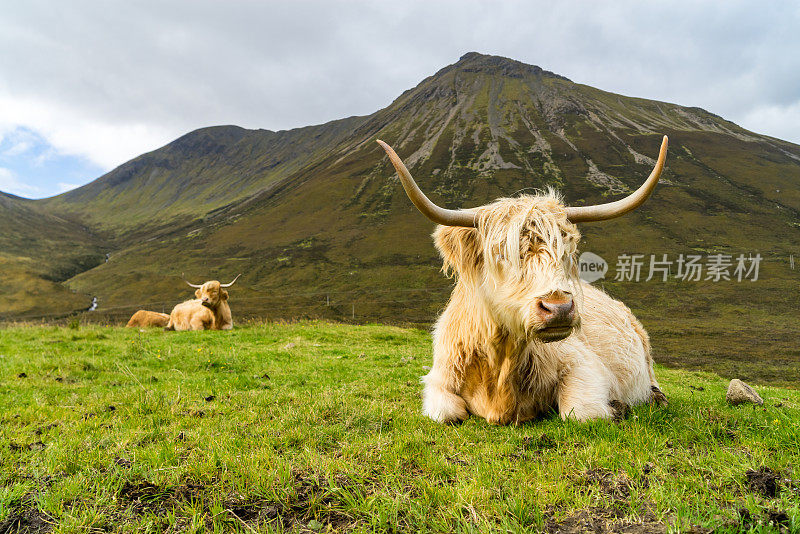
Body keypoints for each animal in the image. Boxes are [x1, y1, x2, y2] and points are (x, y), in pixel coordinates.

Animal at [378, 136, 672, 426]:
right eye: (500, 253)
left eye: (565, 251)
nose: (559, 307)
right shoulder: (438, 380)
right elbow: (446, 413)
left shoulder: (583, 364)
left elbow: (580, 412)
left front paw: (619, 407)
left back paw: (656, 397)